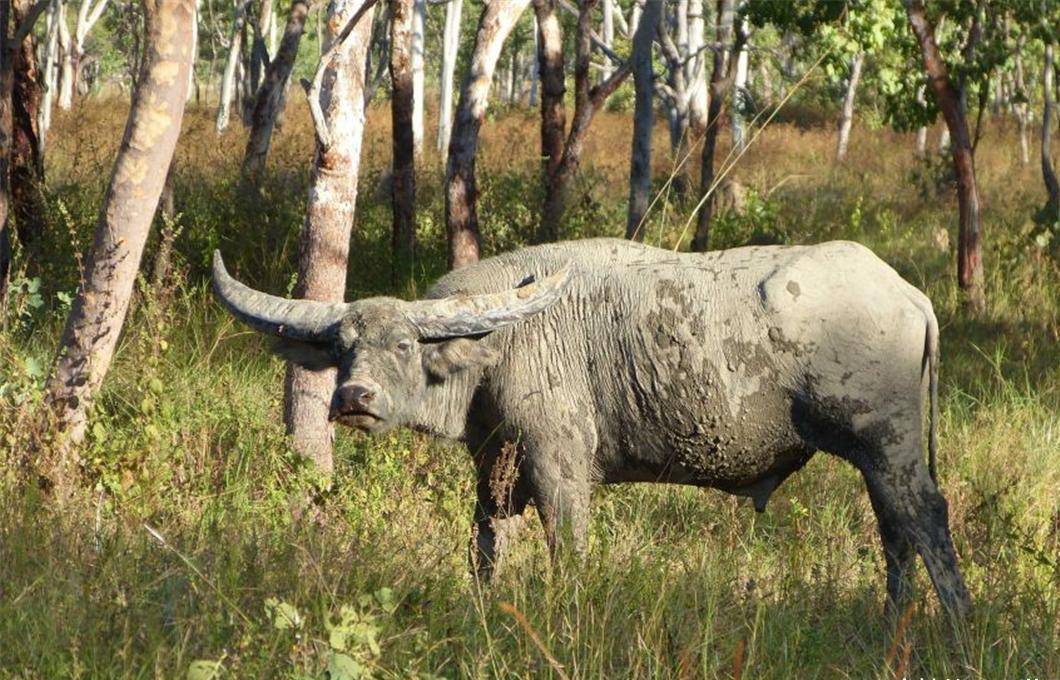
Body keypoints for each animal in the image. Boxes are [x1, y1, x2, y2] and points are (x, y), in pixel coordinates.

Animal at [217, 237, 975, 614]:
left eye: (404, 344)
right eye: (343, 347)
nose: (354, 396)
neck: (498, 346)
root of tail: (907, 292)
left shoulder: (559, 468)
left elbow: (569, 550)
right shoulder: (494, 472)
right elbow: (485, 550)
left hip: (891, 446)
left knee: (925, 520)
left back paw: (958, 626)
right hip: (876, 459)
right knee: (895, 533)